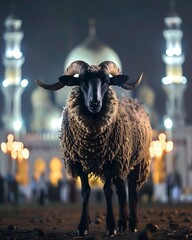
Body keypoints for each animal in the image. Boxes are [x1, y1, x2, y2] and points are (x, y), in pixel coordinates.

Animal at [35, 61, 152, 237]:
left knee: (132, 188)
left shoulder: (111, 161)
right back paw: (123, 224)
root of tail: (134, 102)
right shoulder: (79, 162)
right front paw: (83, 226)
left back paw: (133, 224)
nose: (94, 103)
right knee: (121, 191)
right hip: (122, 164)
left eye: (107, 81)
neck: (91, 144)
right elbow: (85, 191)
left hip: (138, 161)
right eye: (82, 81)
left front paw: (110, 227)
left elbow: (107, 191)